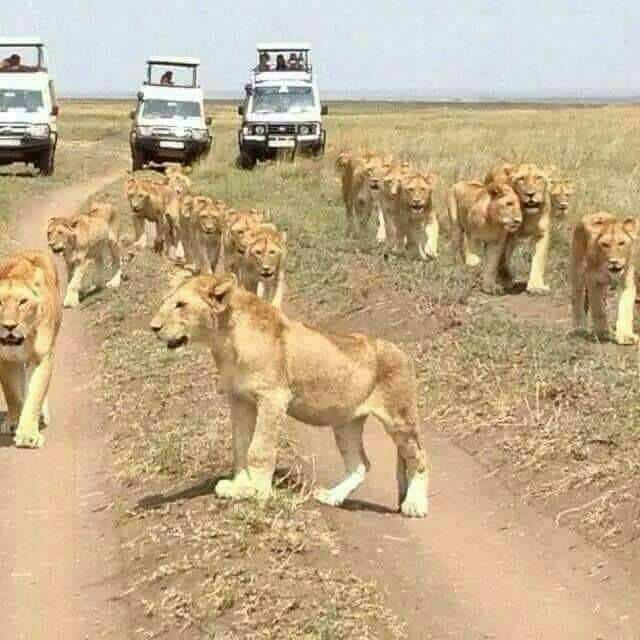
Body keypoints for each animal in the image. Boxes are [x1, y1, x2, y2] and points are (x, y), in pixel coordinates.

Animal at [0, 250, 62, 448]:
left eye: (23, 302)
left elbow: (36, 394)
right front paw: (14, 422)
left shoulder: (43, 358)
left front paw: (28, 435)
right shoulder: (5, 359)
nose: (9, 326)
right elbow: (12, 392)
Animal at [150, 273, 429, 517]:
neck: (224, 340)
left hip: (399, 419)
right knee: (360, 465)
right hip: (345, 423)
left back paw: (414, 505)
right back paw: (332, 497)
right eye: (164, 301)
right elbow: (240, 446)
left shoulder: (273, 398)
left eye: (181, 305)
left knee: (419, 458)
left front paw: (258, 492)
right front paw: (238, 487)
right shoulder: (239, 399)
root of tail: (402, 352)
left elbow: (259, 449)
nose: (153, 327)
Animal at [570, 212, 638, 345]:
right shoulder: (592, 280)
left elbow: (625, 309)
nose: (614, 262)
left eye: (621, 243)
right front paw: (603, 332)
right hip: (578, 269)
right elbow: (598, 309)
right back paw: (579, 328)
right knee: (577, 297)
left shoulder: (627, 282)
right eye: (605, 245)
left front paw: (626, 336)